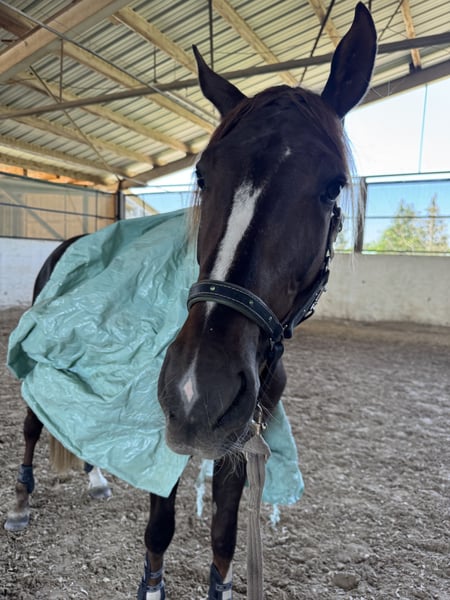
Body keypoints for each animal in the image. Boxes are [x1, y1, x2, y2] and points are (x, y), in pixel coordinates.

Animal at [5, 3, 376, 599]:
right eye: (202, 174)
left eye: (333, 186)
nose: (199, 388)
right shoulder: (166, 433)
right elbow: (160, 529)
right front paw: (152, 583)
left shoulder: (239, 437)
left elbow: (223, 540)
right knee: (33, 426)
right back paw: (20, 502)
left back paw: (96, 477)